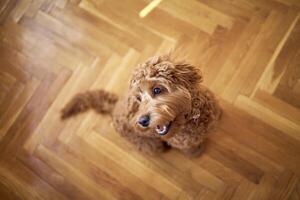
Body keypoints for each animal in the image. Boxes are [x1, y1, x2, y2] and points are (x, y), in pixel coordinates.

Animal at [61, 54, 221, 156]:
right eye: (138, 98)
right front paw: (197, 152)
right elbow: (191, 148)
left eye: (157, 89)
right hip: (148, 144)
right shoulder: (183, 143)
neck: (192, 119)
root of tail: (115, 107)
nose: (142, 121)